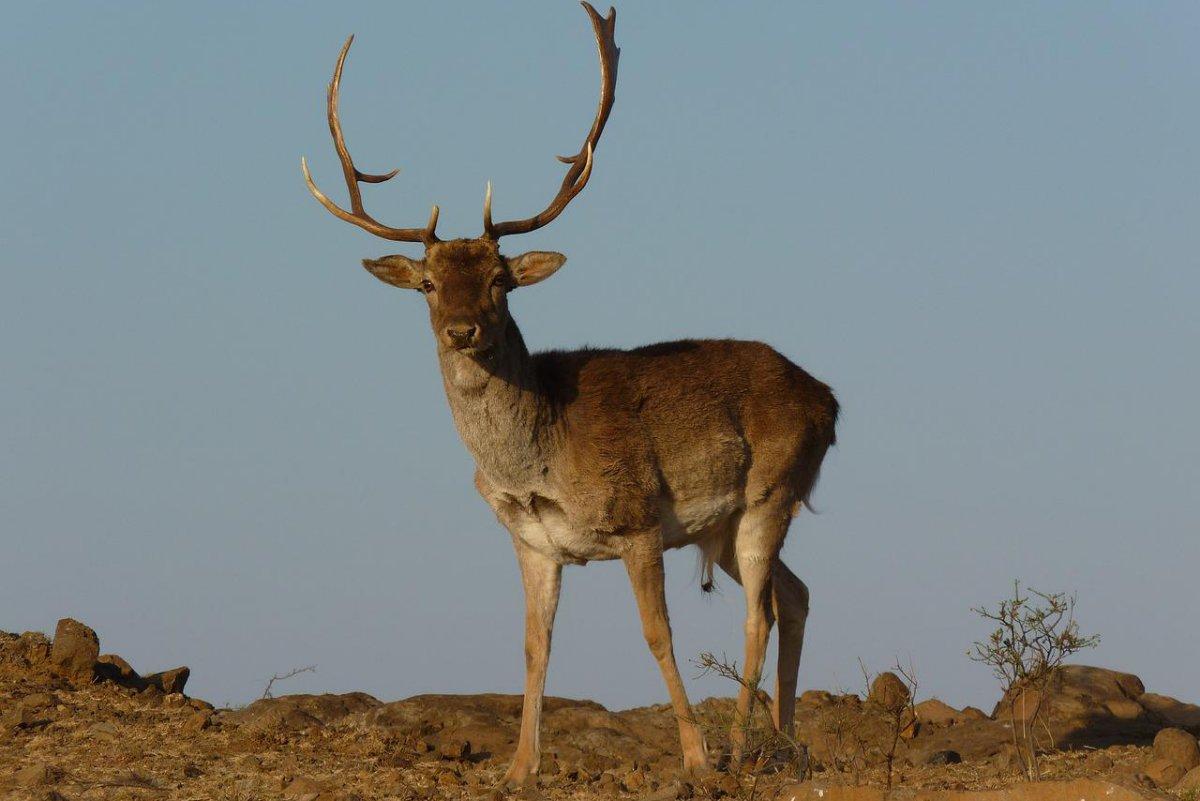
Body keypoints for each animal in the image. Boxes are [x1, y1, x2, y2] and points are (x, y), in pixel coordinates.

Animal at [304, 1, 840, 786]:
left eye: (501, 279)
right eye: (429, 283)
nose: (463, 329)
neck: (534, 460)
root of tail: (830, 402)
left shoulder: (639, 517)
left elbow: (656, 633)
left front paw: (694, 757)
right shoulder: (533, 540)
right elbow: (536, 644)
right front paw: (519, 767)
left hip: (769, 491)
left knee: (760, 610)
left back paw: (743, 745)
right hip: (720, 522)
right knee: (795, 595)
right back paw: (787, 740)